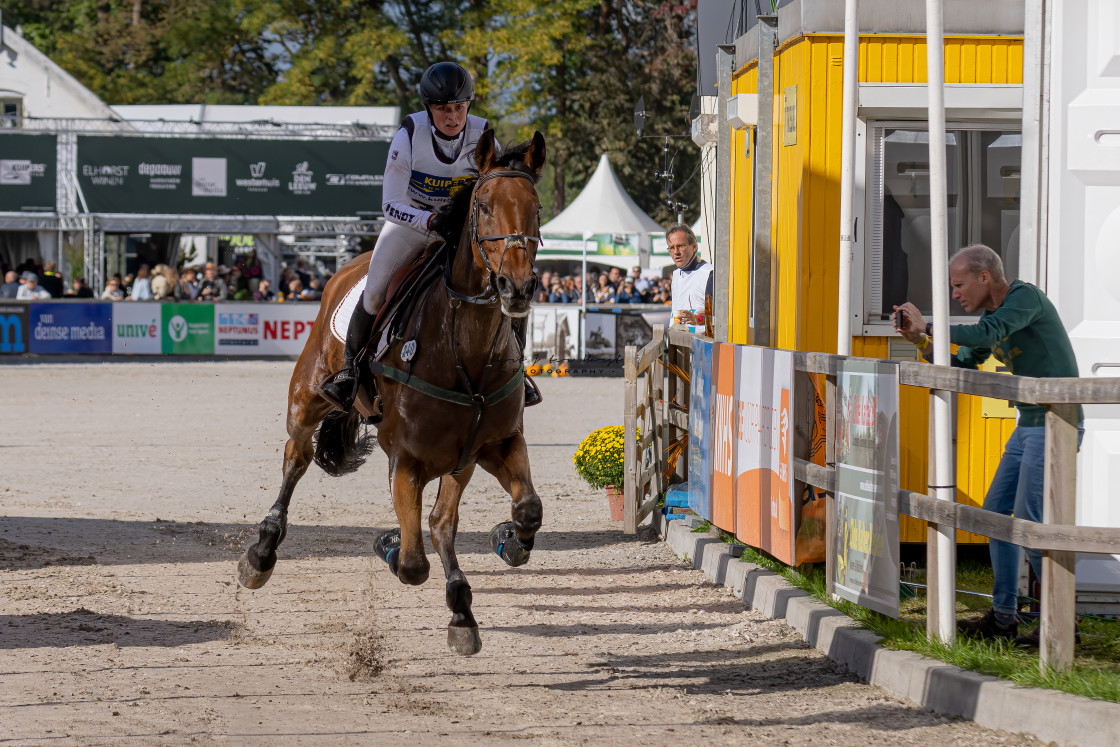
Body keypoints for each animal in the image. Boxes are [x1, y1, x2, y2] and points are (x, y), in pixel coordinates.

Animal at [239, 131, 546, 658]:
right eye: (483, 206)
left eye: (537, 207)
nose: (517, 287)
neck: (465, 349)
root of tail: (349, 266)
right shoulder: (406, 461)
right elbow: (412, 562)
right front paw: (390, 545)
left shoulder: (490, 446)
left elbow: (520, 510)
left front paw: (504, 546)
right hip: (307, 398)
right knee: (296, 458)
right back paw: (262, 551)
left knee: (443, 520)